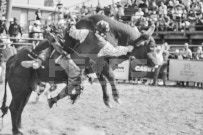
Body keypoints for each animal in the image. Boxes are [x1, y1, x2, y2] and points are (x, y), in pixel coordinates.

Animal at [0, 14, 155, 134]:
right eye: (151, 47)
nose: (156, 63)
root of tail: (13, 58)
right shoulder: (100, 60)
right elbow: (110, 76)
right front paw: (116, 98)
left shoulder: (96, 66)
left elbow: (103, 80)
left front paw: (107, 100)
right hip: (19, 89)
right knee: (14, 107)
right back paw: (17, 130)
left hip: (26, 89)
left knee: (20, 107)